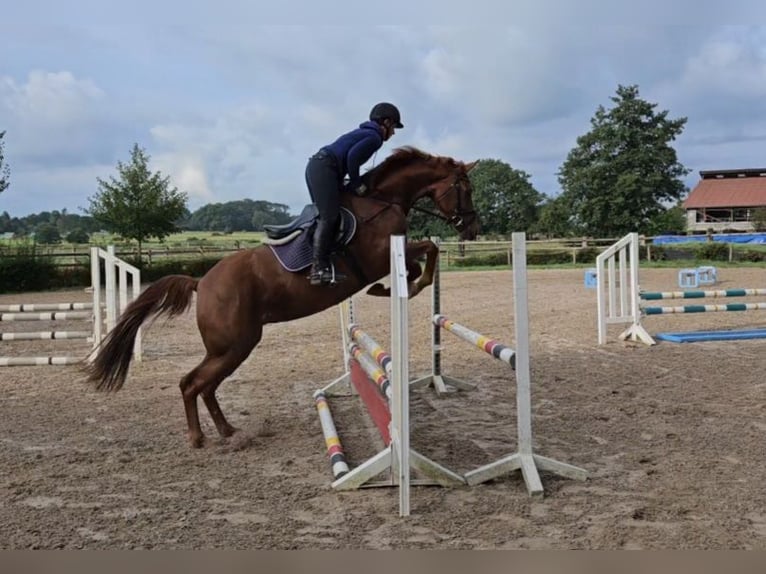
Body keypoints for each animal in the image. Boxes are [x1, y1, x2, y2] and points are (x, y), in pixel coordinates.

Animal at [85, 145, 480, 450]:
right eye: (466, 188)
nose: (473, 230)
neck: (382, 200)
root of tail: (202, 282)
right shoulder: (379, 256)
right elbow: (425, 252)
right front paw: (400, 286)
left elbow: (423, 255)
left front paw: (392, 287)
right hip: (233, 345)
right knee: (192, 383)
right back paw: (199, 438)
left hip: (233, 347)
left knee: (205, 386)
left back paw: (227, 430)